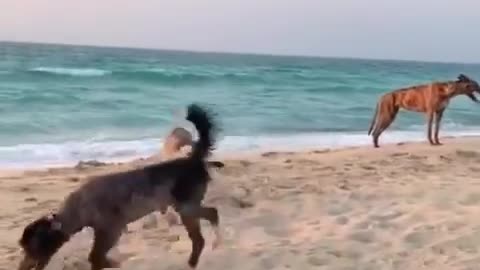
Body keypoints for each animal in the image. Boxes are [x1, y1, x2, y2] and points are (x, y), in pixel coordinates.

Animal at [17, 103, 221, 270]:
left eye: (32, 249)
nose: (21, 267)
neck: (77, 209)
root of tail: (192, 160)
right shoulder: (102, 232)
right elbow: (96, 258)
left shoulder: (111, 231)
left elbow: (95, 257)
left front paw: (111, 263)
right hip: (185, 209)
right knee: (199, 240)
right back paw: (192, 263)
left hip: (187, 206)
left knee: (213, 214)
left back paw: (217, 242)